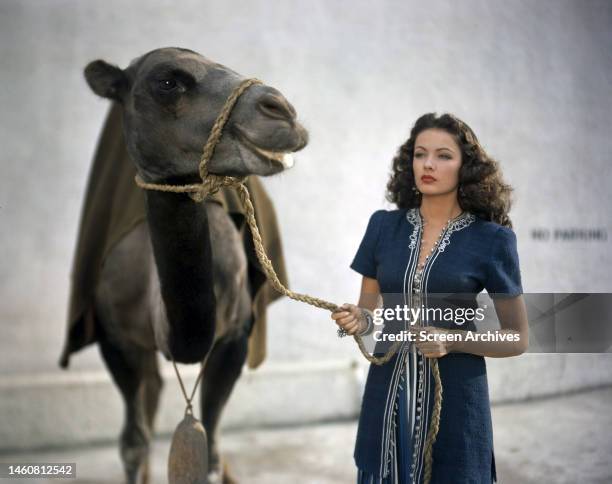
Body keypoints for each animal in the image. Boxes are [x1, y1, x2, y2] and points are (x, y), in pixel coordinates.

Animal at [83, 48, 308, 484]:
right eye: (168, 82)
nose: (282, 111)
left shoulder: (235, 334)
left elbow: (212, 451)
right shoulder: (114, 338)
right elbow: (132, 443)